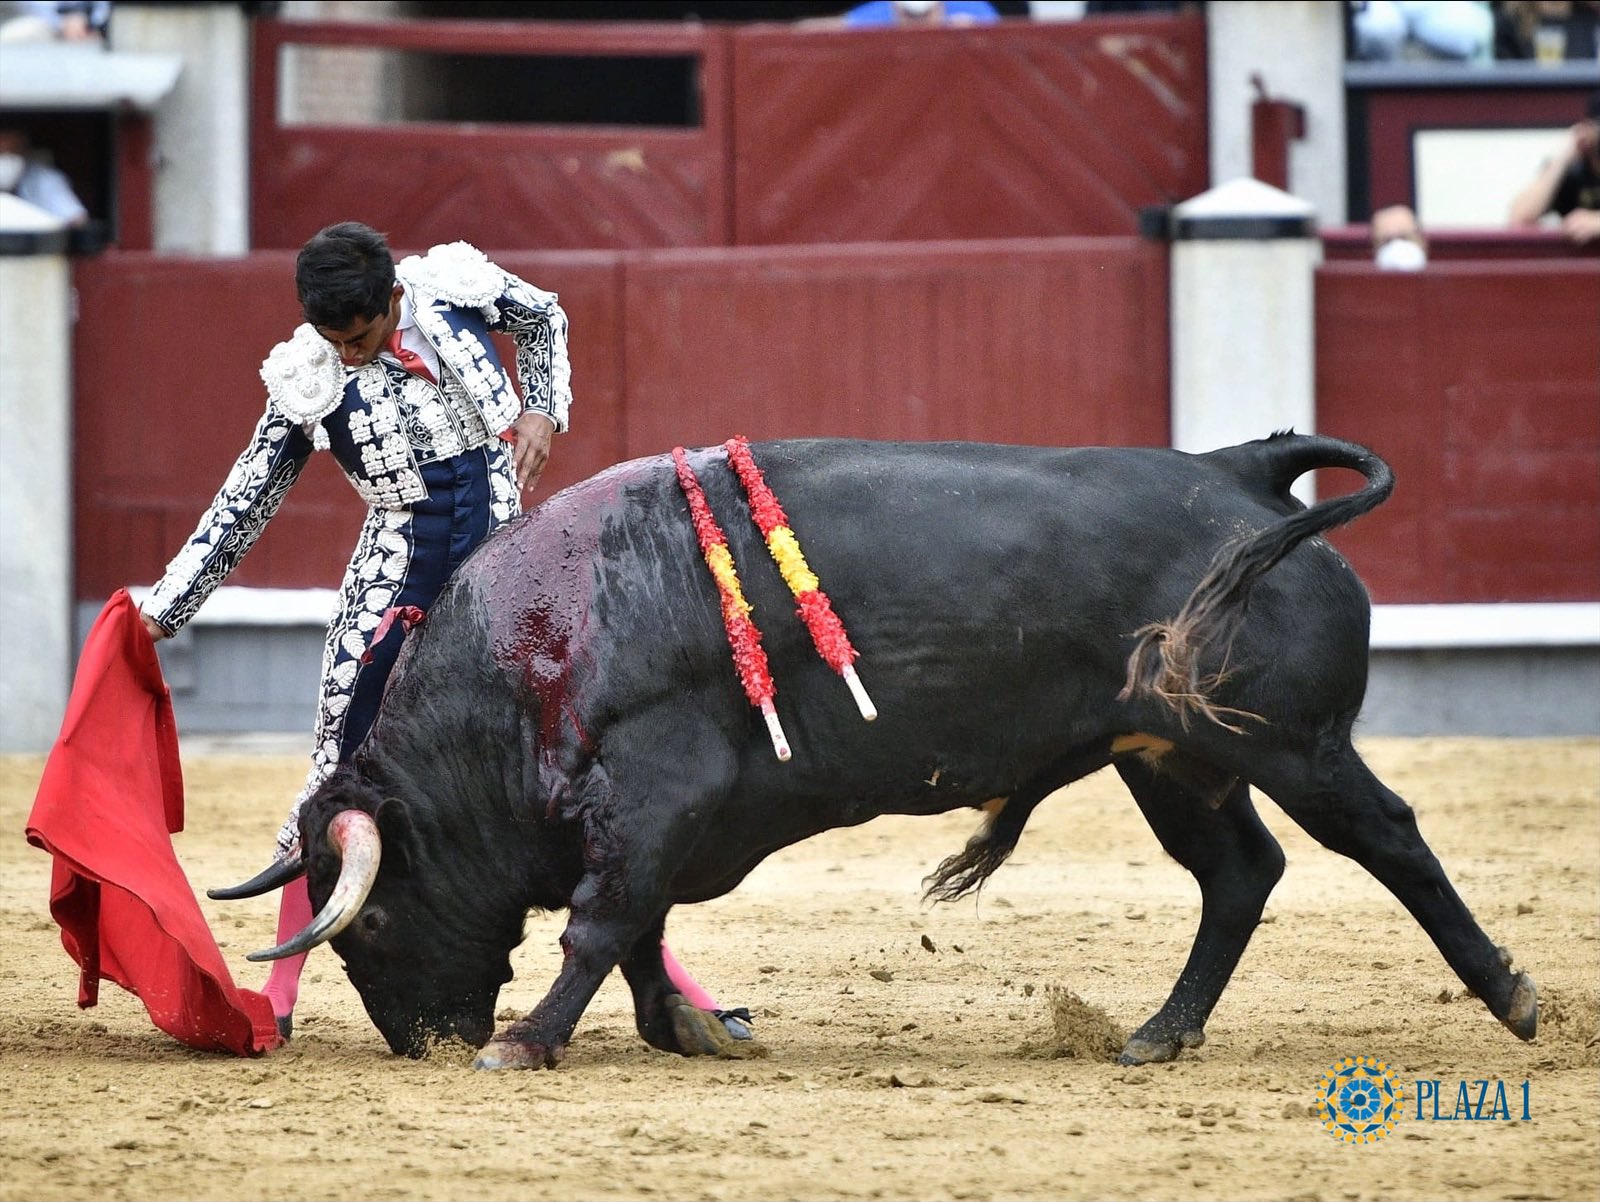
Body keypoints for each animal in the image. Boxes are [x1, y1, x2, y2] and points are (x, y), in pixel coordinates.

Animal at [225, 433, 1538, 1069]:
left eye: (368, 923)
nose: (424, 1043)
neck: (534, 647)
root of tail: (1243, 477)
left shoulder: (657, 788)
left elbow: (606, 919)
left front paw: (526, 1040)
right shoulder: (655, 814)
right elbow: (638, 921)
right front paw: (684, 1028)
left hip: (1294, 744)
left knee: (1387, 839)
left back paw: (1517, 997)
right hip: (1168, 755)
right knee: (1238, 875)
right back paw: (1160, 1031)